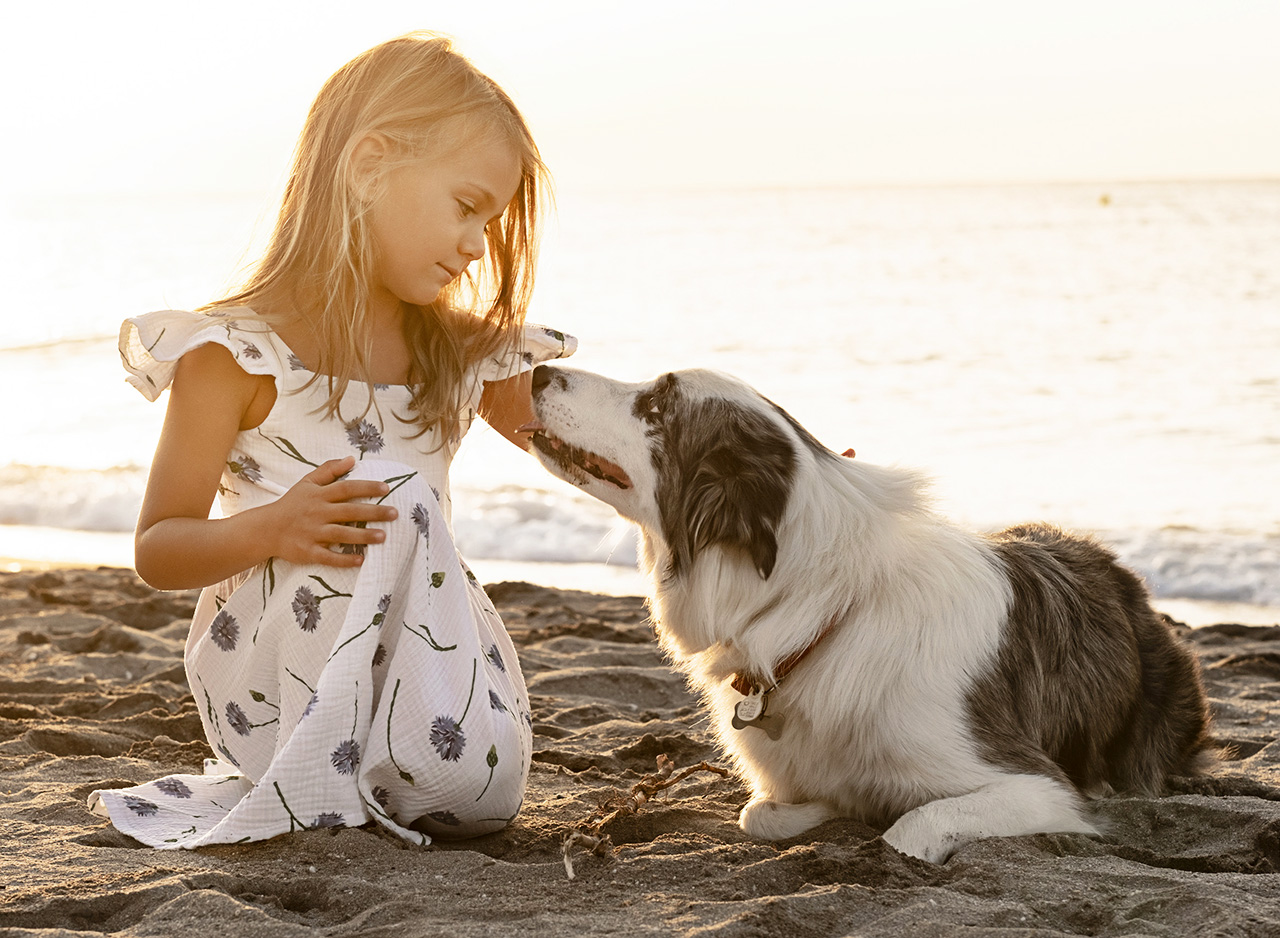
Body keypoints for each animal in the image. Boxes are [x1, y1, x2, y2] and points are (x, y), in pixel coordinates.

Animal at [517, 363, 1208, 859]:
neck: (820, 616)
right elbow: (762, 812)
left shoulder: (1039, 787)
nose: (539, 372)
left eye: (657, 406)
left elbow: (908, 831)